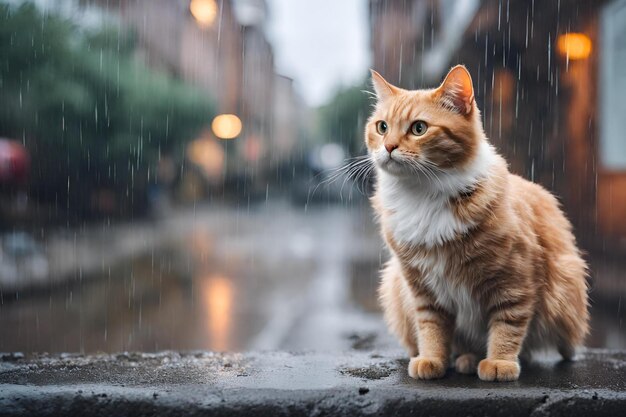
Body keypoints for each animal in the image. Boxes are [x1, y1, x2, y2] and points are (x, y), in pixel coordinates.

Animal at [366, 64, 584, 380]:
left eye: (419, 128)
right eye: (381, 127)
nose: (389, 146)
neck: (422, 195)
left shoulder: (514, 280)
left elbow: (507, 324)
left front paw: (500, 362)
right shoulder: (421, 287)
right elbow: (431, 327)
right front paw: (432, 358)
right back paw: (464, 358)